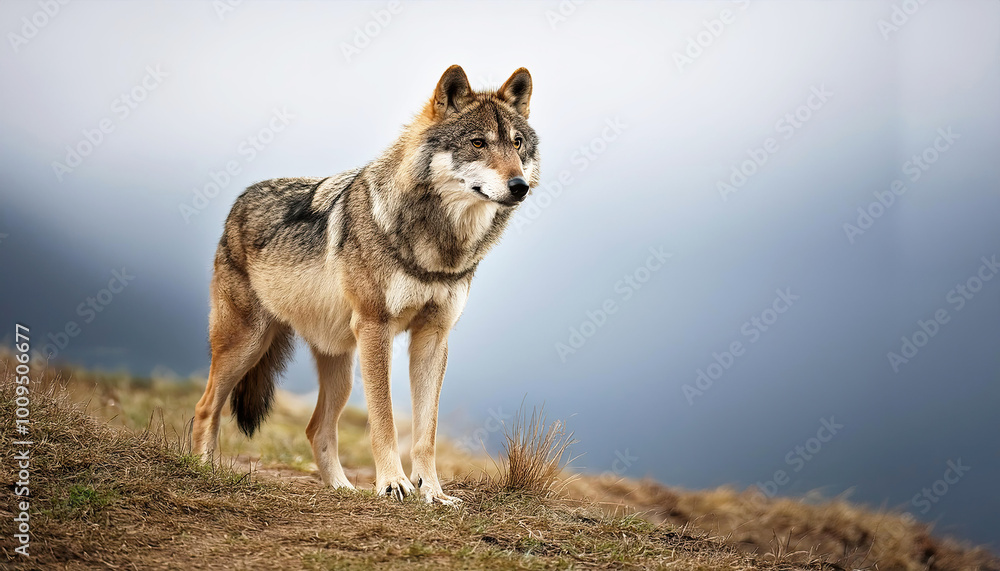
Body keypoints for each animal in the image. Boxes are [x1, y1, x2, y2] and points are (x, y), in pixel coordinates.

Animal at [191, 65, 539, 504]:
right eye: (478, 143)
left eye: (516, 143)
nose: (519, 186)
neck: (438, 247)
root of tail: (240, 200)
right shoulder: (376, 328)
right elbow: (384, 420)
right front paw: (392, 483)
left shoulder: (433, 336)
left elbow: (426, 432)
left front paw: (433, 492)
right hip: (246, 346)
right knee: (205, 406)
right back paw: (201, 468)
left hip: (340, 368)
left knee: (316, 428)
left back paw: (342, 488)